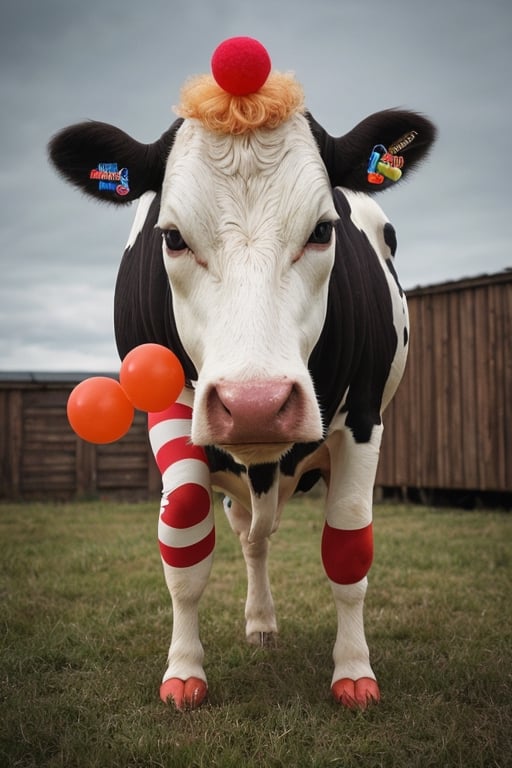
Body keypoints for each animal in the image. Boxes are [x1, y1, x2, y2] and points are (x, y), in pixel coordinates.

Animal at [48, 36, 434, 708]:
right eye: (172, 237)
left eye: (323, 228)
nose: (255, 403)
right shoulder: (170, 409)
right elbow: (184, 540)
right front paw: (183, 670)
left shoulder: (363, 420)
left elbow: (349, 546)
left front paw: (354, 669)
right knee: (249, 535)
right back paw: (258, 623)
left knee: (263, 534)